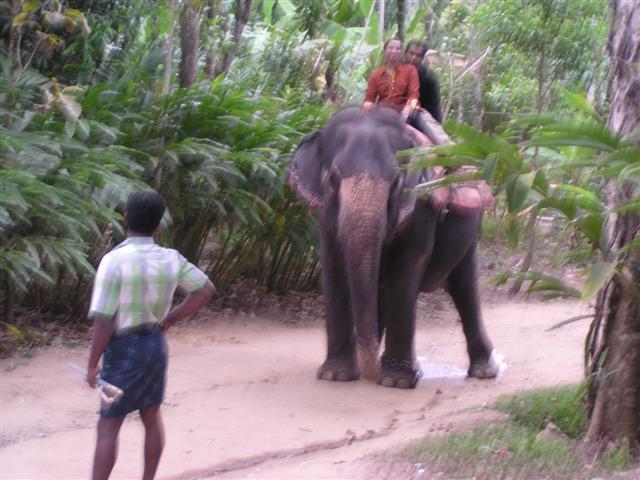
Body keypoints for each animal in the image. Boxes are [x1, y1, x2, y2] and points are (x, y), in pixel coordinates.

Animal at [289, 107, 499, 388]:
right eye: (332, 178)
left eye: (397, 181)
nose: (371, 374)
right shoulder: (325, 215)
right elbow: (334, 272)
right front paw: (336, 375)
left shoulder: (421, 205)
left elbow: (404, 272)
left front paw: (395, 381)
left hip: (469, 234)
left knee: (464, 289)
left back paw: (482, 371)